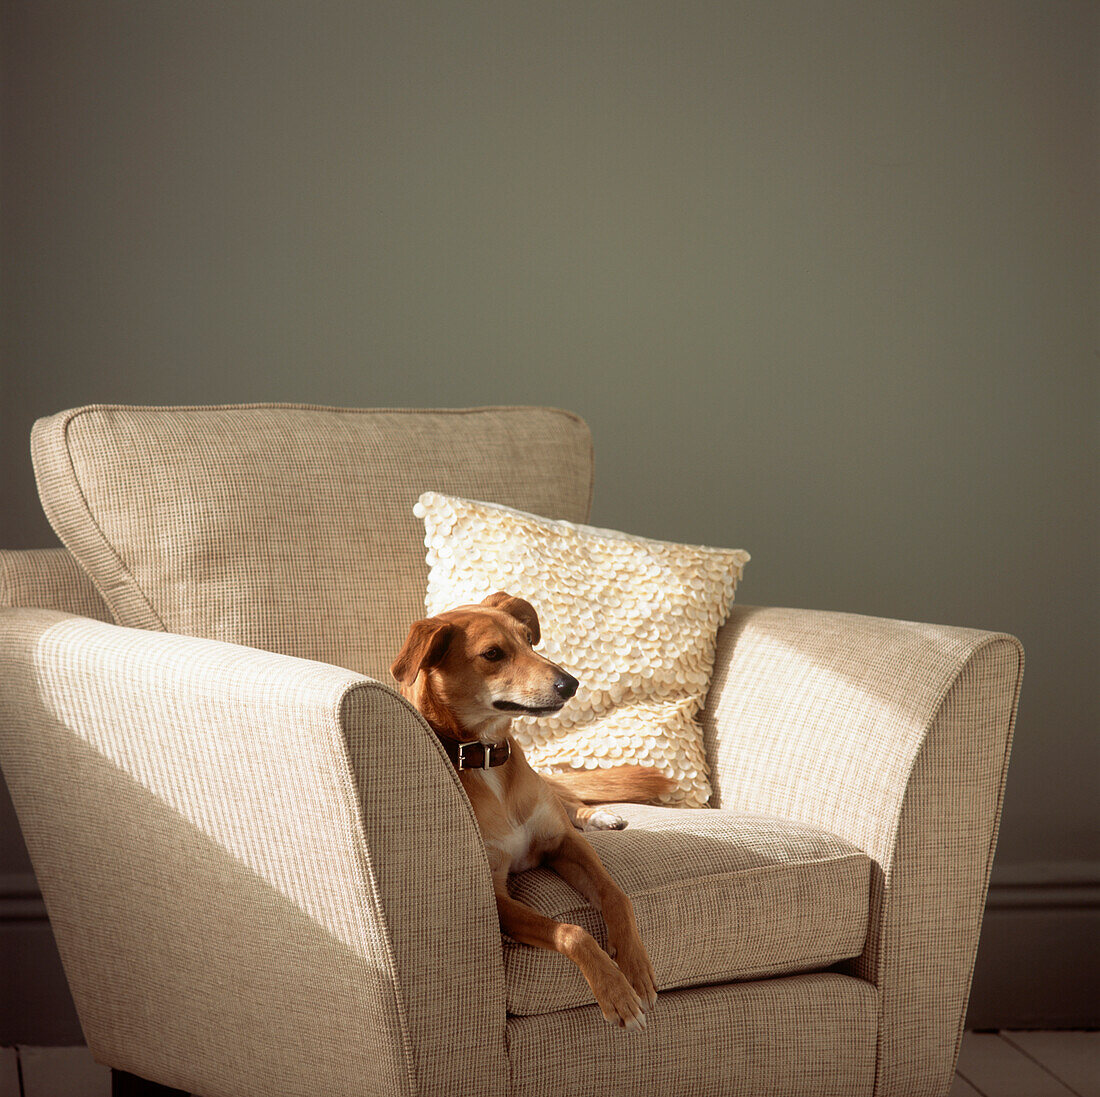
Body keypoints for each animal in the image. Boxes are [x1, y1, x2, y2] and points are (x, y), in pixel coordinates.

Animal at [391, 589, 673, 1025]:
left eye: (528, 639)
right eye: (492, 654)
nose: (571, 683)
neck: (489, 758)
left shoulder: (565, 844)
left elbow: (616, 895)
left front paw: (636, 967)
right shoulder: (498, 898)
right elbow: (571, 932)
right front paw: (616, 992)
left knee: (569, 799)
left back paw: (600, 816)